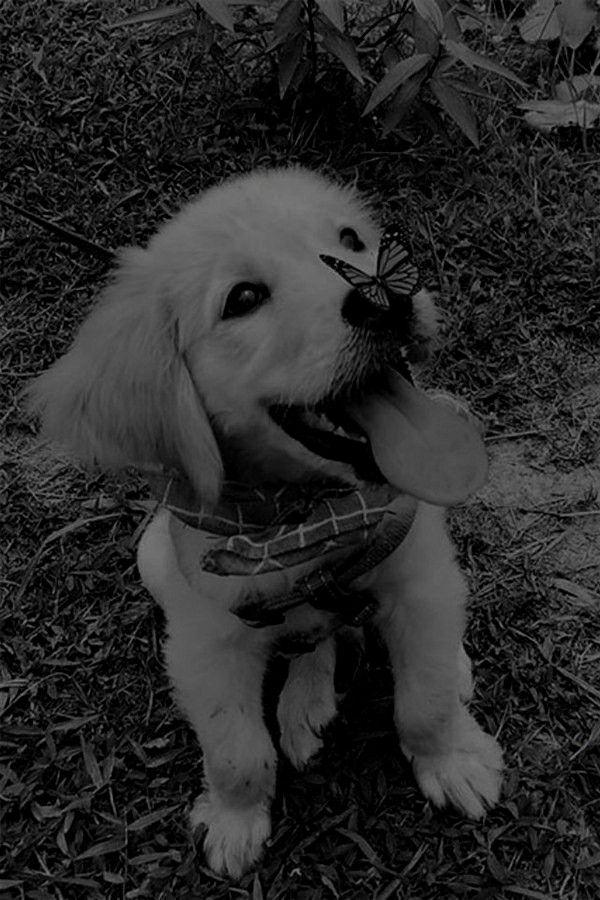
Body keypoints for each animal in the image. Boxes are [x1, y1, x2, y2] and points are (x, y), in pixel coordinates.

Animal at [30, 167, 504, 880]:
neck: (305, 518)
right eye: (244, 298)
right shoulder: (205, 643)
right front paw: (234, 821)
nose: (384, 300)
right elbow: (236, 751)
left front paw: (452, 760)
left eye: (351, 239)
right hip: (152, 557)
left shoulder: (418, 579)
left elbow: (423, 701)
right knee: (311, 640)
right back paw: (305, 703)